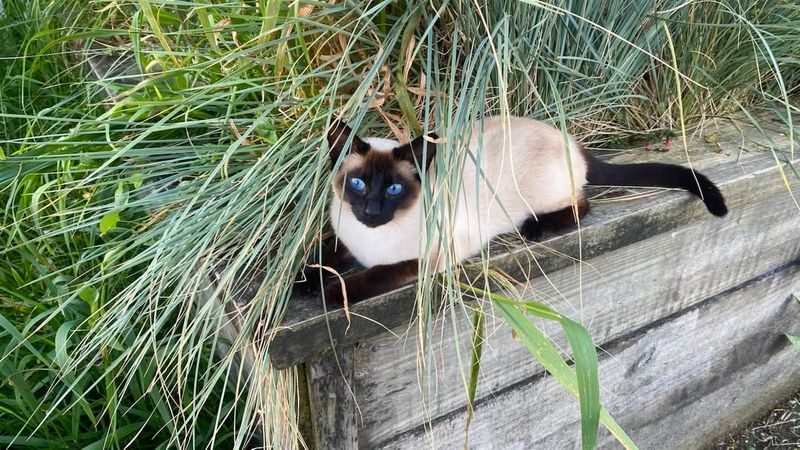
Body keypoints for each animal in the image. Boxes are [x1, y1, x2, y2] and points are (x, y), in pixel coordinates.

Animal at [304, 115, 728, 306]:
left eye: (393, 189)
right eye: (358, 185)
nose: (371, 210)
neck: (370, 240)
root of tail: (571, 141)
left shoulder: (435, 254)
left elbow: (377, 274)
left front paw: (332, 293)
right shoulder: (346, 238)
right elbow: (327, 254)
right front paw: (304, 281)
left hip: (543, 196)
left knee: (582, 204)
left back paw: (537, 228)